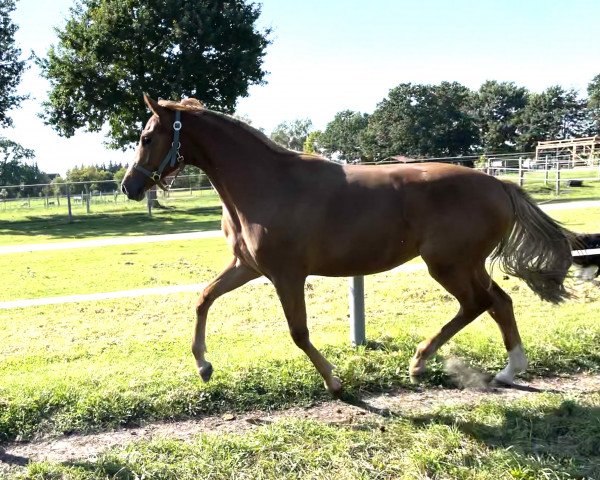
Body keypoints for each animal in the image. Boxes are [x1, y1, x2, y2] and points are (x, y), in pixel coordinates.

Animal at [119, 95, 576, 396]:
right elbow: (203, 298)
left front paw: (335, 381)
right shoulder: (246, 266)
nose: (129, 186)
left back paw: (422, 362)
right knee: (499, 302)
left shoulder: (286, 274)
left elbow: (299, 332)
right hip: (467, 265)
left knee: (478, 304)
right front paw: (203, 366)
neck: (265, 184)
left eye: (146, 137)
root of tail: (500, 185)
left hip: (448, 265)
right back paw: (505, 370)